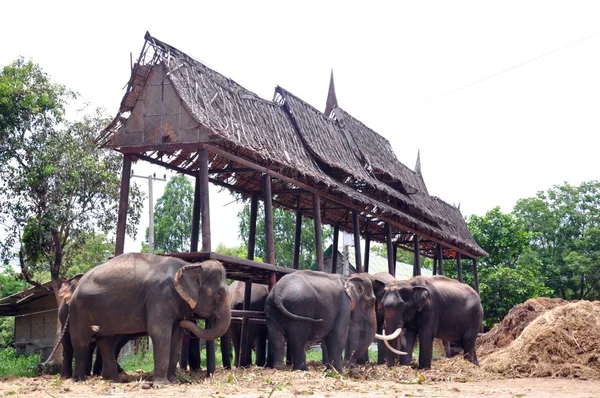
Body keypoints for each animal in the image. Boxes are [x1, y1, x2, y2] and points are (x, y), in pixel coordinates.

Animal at [68, 253, 231, 384]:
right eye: (219, 294)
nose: (188, 320)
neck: (189, 265)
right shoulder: (160, 295)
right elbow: (160, 333)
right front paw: (162, 384)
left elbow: (175, 336)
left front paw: (174, 381)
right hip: (79, 309)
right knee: (81, 341)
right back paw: (80, 380)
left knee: (107, 342)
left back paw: (113, 380)